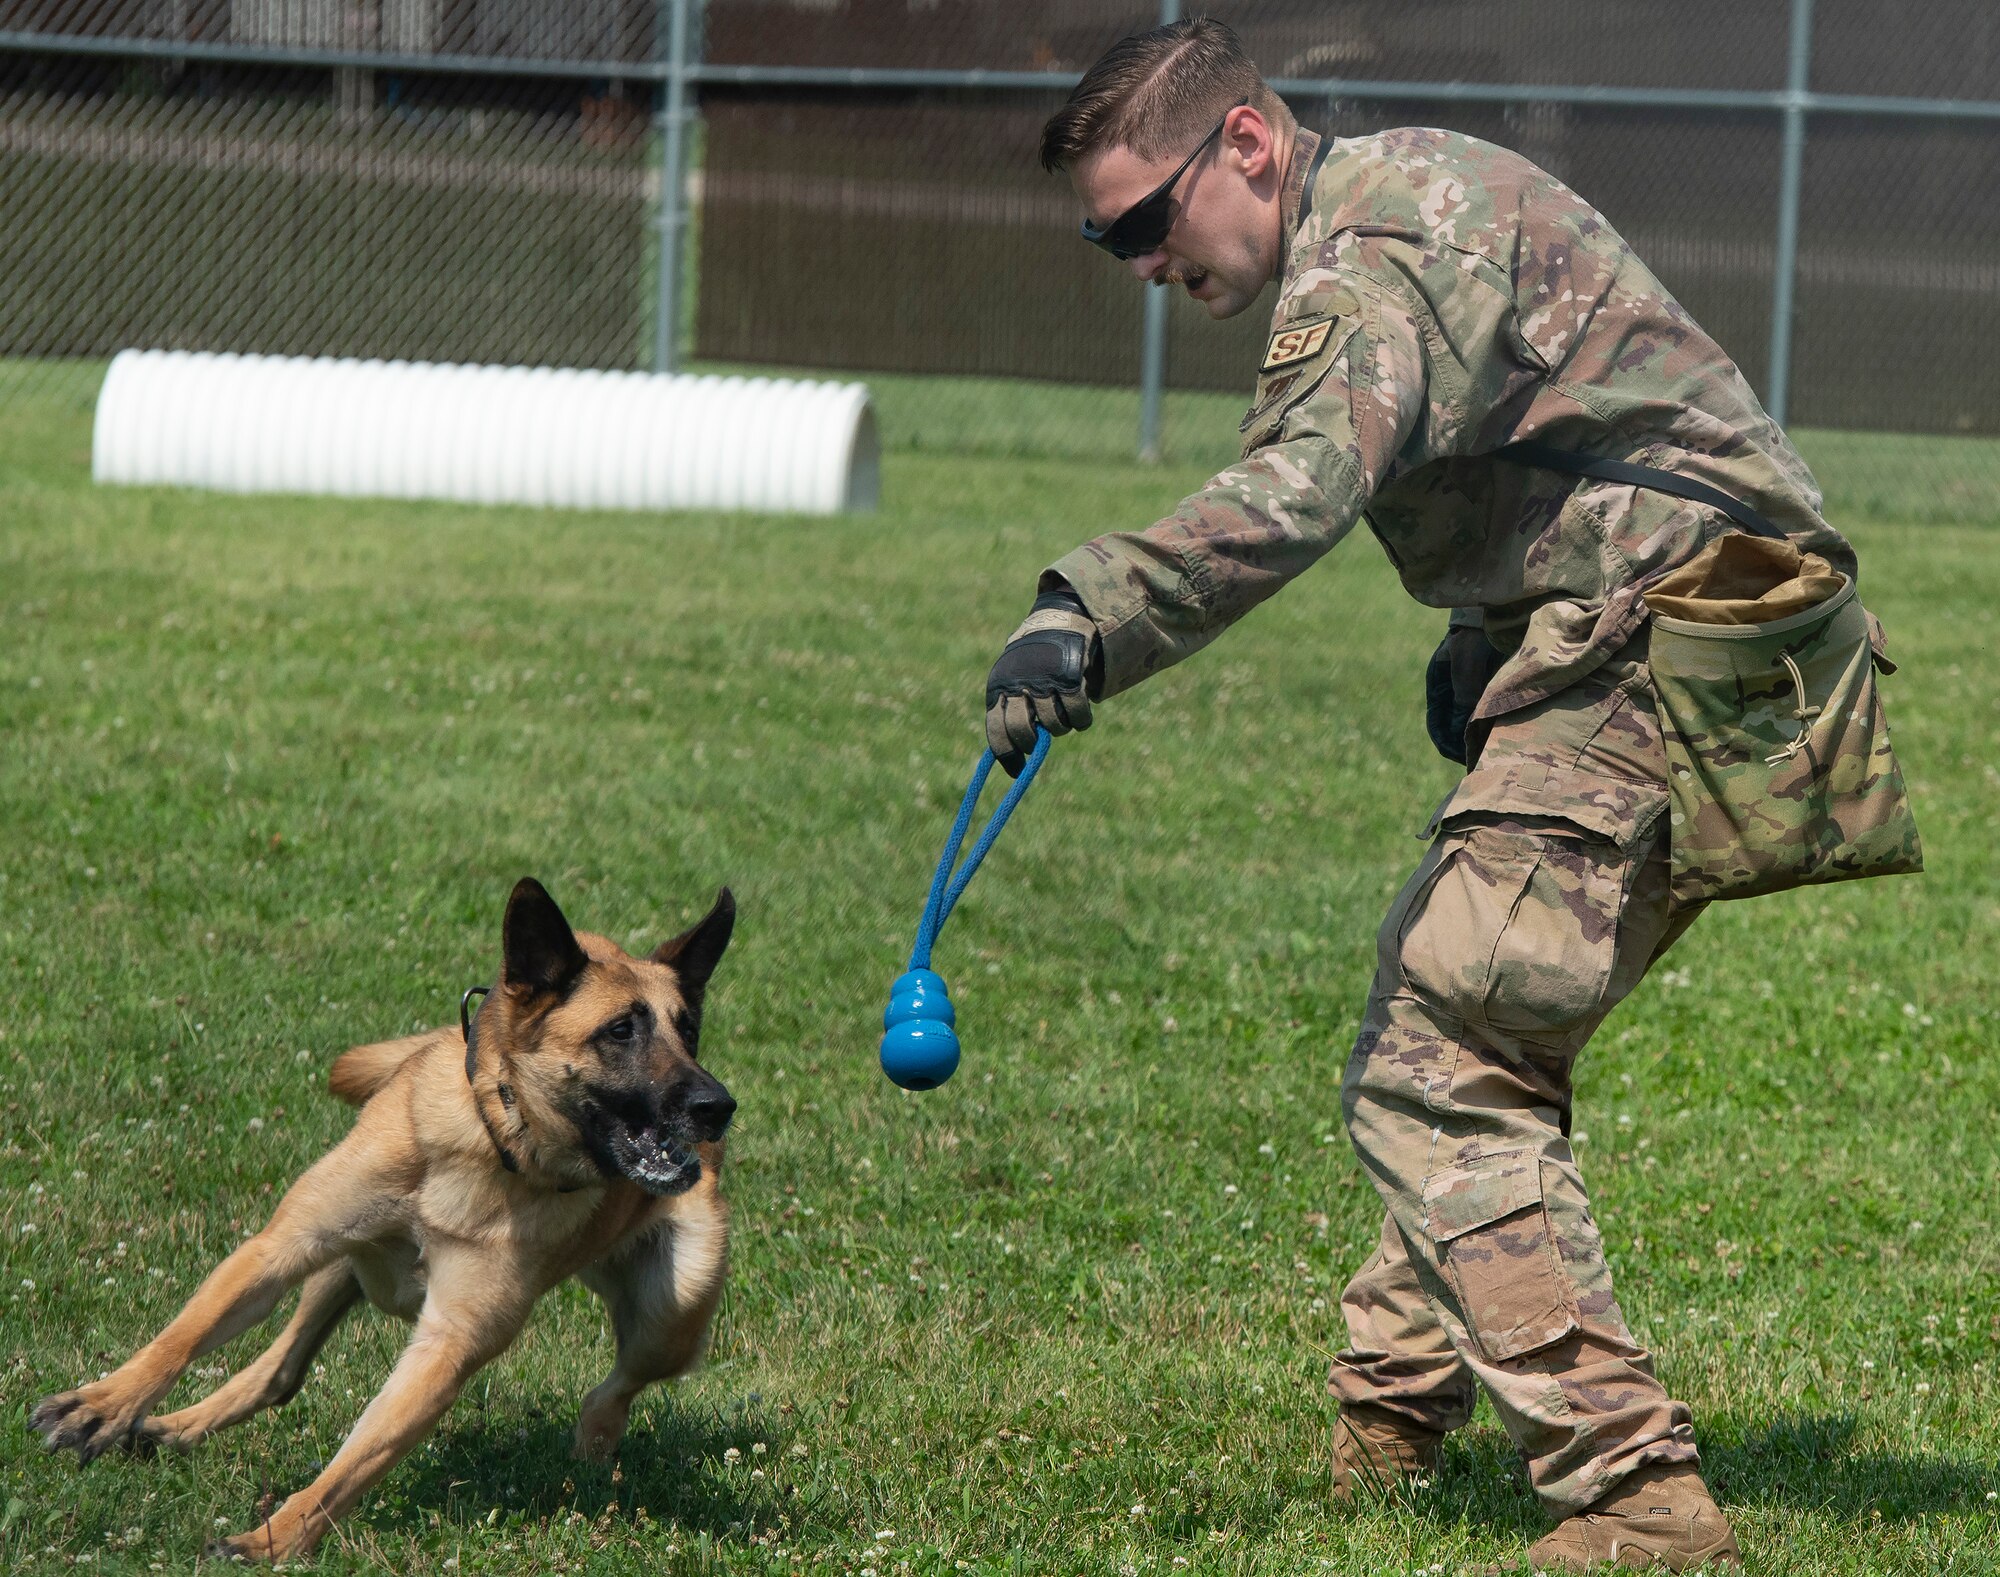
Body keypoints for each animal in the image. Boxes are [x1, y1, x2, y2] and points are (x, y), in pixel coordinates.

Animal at [31, 880, 740, 1560]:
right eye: (620, 1031)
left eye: (689, 1031)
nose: (719, 1107)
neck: (492, 1140)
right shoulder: (284, 1245)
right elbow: (180, 1337)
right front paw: (101, 1406)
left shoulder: (449, 1345)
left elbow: (350, 1469)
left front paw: (270, 1542)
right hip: (340, 1263)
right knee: (280, 1370)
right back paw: (173, 1427)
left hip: (671, 1314)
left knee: (614, 1388)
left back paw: (594, 1445)